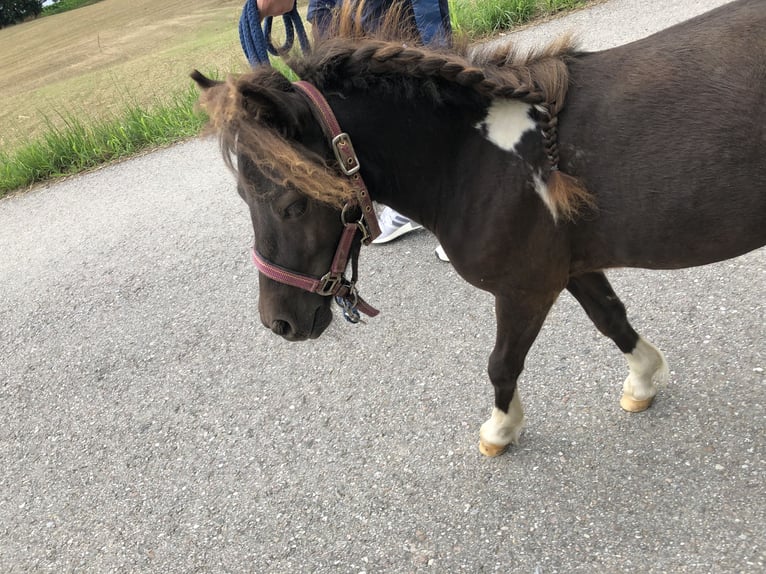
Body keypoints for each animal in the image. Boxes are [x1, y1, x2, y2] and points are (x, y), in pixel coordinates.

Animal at [194, 0, 766, 460]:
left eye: (292, 204)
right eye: (243, 197)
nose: (279, 323)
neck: (474, 159)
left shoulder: (525, 290)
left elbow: (501, 364)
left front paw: (500, 430)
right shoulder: (570, 268)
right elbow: (611, 318)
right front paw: (644, 379)